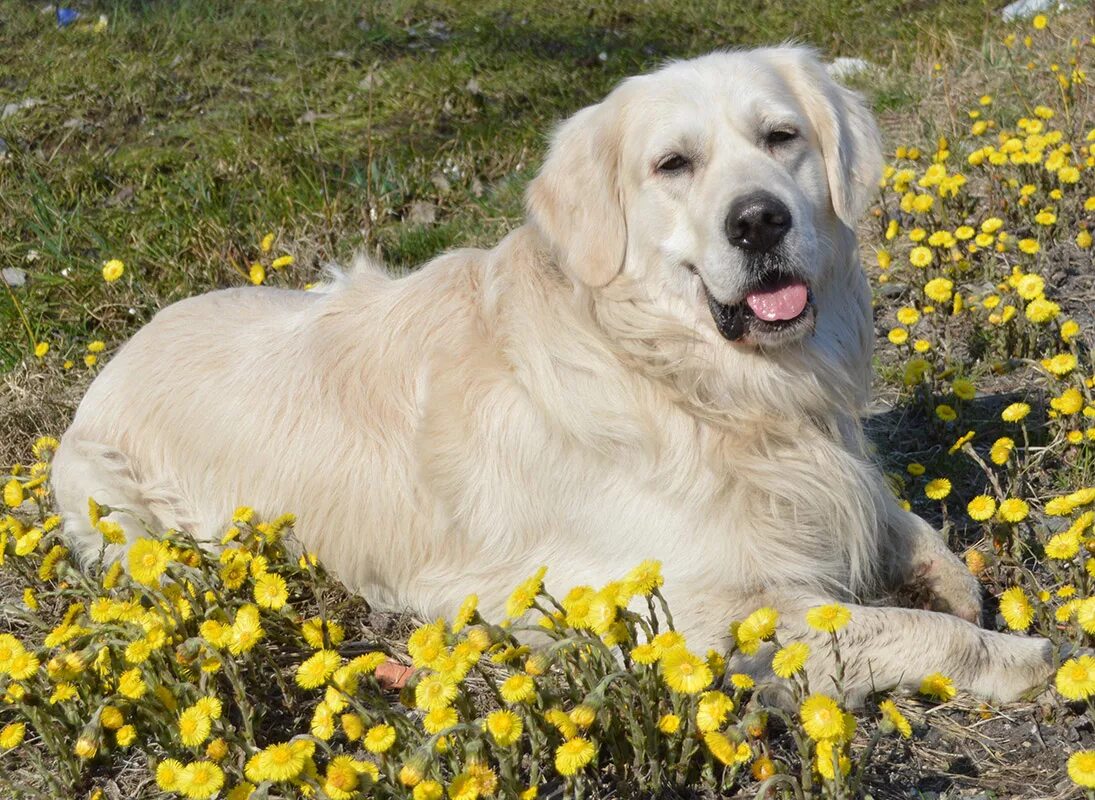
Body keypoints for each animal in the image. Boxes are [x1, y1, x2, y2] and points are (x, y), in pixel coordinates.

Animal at [51, 47, 1051, 704]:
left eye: (782, 137)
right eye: (673, 164)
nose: (760, 221)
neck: (692, 384)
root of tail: (126, 348)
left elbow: (911, 534)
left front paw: (949, 578)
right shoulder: (680, 608)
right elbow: (900, 627)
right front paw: (1016, 657)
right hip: (124, 520)